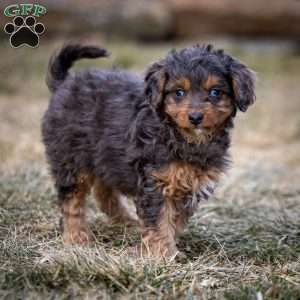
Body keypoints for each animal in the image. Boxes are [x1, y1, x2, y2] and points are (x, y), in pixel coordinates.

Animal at [42, 44, 255, 258]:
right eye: (179, 92)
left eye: (215, 92)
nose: (195, 117)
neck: (181, 136)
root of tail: (65, 83)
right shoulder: (156, 182)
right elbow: (160, 221)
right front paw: (163, 255)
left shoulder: (187, 186)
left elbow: (174, 221)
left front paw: (159, 248)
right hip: (71, 157)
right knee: (72, 200)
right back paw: (76, 238)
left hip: (105, 156)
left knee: (104, 191)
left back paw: (126, 222)